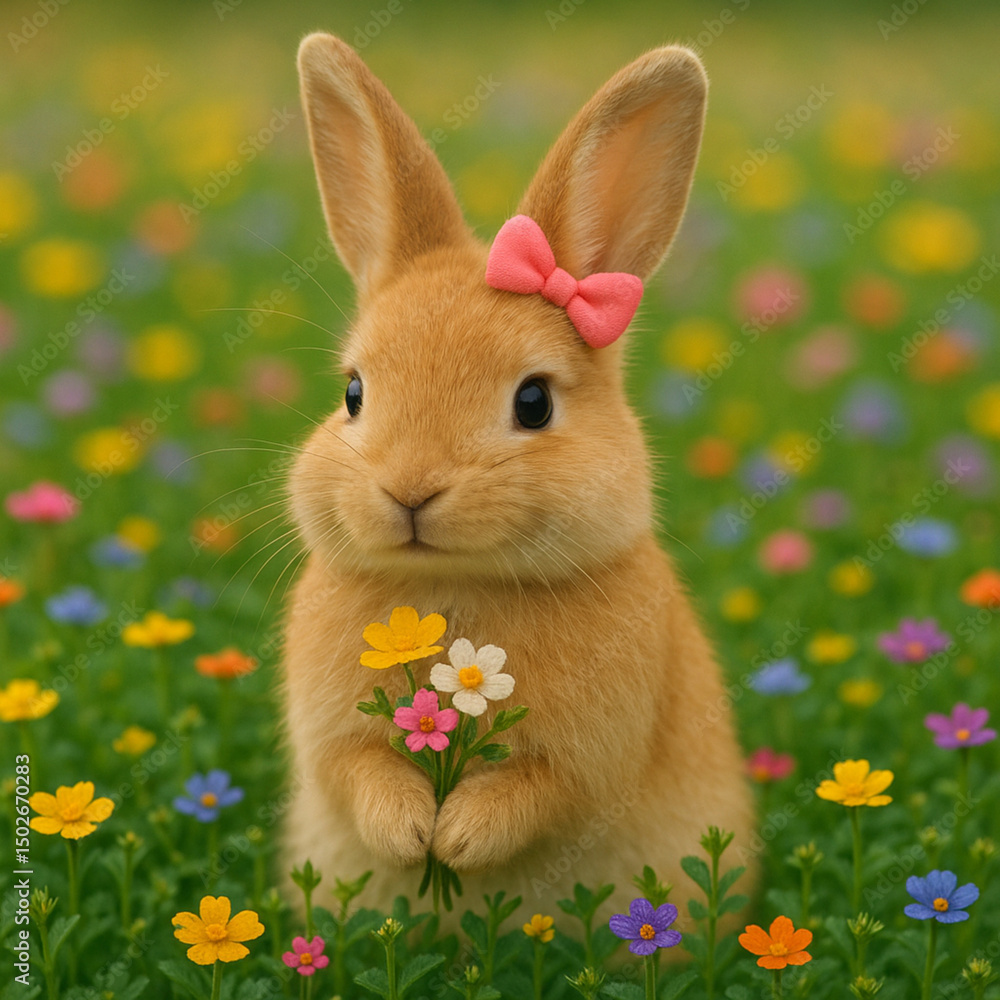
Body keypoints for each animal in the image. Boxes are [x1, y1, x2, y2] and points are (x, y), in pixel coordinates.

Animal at [281, 32, 756, 939]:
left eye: (533, 403)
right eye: (353, 393)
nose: (410, 492)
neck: (459, 586)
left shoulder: (591, 756)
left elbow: (544, 791)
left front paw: (457, 839)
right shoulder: (330, 741)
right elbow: (357, 769)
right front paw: (412, 834)